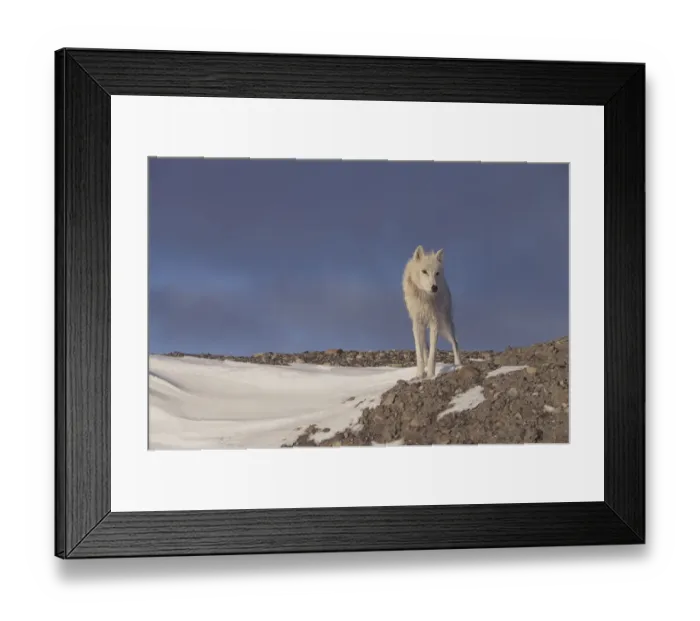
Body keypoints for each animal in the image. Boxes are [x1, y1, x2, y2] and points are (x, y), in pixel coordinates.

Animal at [402, 245, 462, 379]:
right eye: (424, 271)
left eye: (437, 273)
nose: (434, 287)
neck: (425, 298)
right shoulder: (417, 324)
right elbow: (419, 353)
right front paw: (419, 375)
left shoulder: (435, 322)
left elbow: (433, 353)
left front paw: (430, 375)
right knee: (425, 347)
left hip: (445, 325)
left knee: (455, 342)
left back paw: (458, 364)